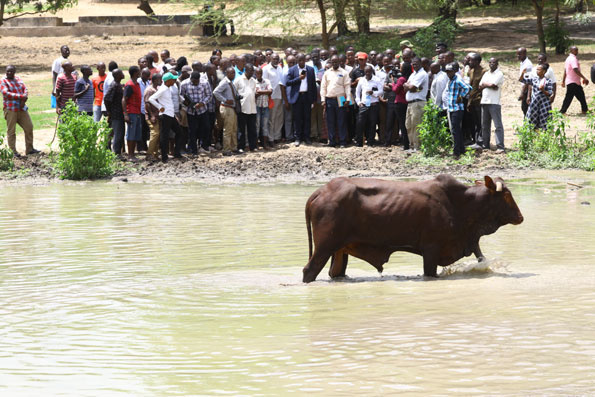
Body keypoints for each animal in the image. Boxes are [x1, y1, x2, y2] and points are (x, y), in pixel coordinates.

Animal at [304, 174, 524, 282]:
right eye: (506, 195)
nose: (520, 217)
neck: (462, 204)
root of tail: (320, 192)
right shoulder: (431, 249)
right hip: (324, 247)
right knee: (309, 271)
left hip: (339, 250)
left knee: (336, 273)